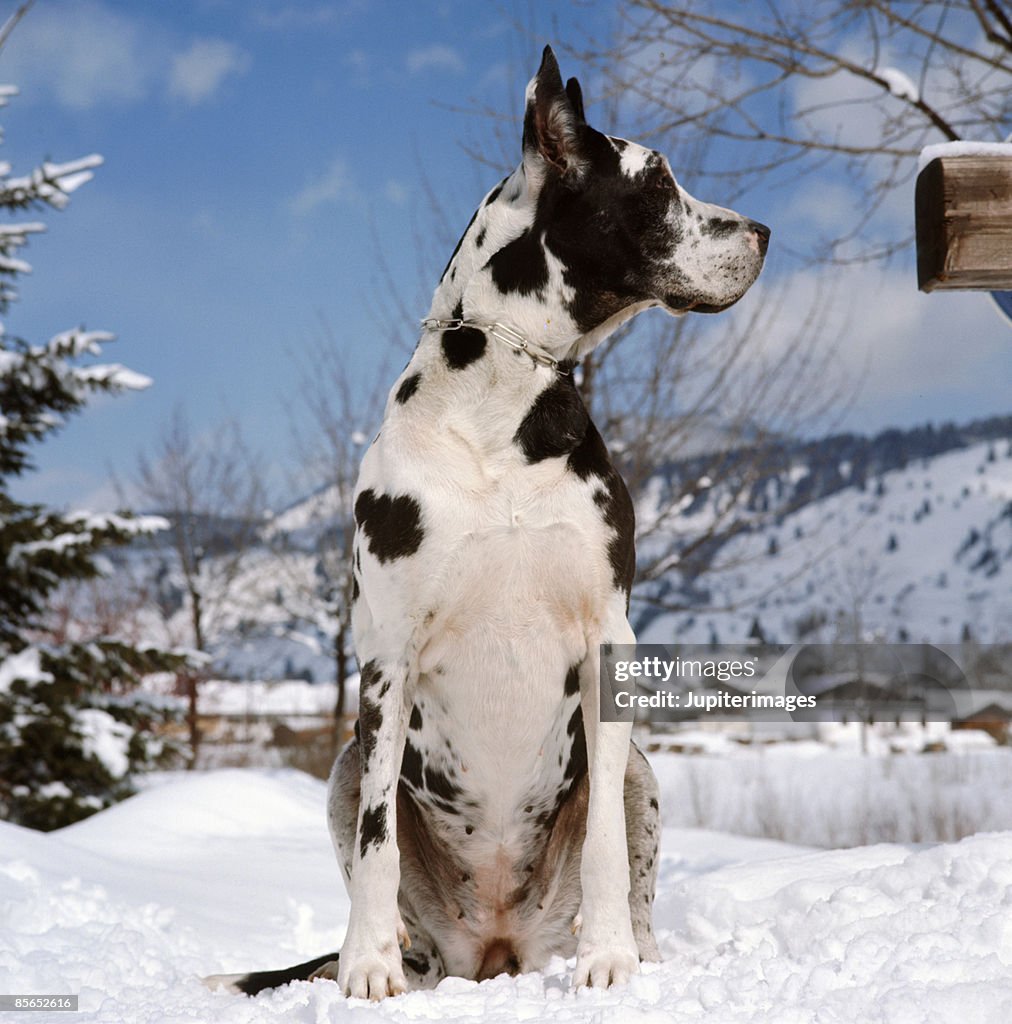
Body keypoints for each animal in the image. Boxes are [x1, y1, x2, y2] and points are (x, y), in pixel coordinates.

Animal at [207, 46, 766, 999]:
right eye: (657, 180)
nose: (763, 232)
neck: (504, 398)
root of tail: (499, 950)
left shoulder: (607, 637)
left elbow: (606, 847)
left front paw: (610, 959)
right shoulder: (386, 656)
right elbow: (378, 845)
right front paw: (365, 969)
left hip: (641, 770)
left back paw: (638, 953)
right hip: (348, 768)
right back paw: (395, 958)